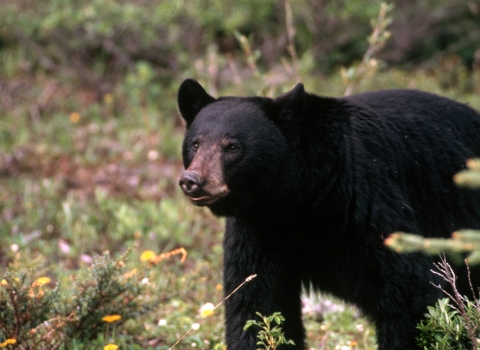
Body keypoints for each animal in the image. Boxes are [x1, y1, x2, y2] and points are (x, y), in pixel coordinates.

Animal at [176, 78, 480, 348]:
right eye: (195, 143)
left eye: (232, 146)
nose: (192, 180)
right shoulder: (258, 230)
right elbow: (256, 303)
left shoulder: (370, 204)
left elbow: (410, 296)